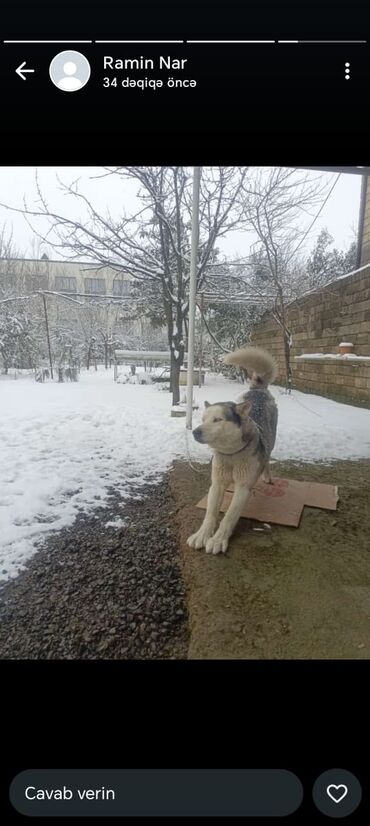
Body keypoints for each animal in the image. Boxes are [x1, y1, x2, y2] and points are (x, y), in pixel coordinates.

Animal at [188, 344, 278, 552]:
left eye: (217, 420)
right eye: (203, 419)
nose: (195, 432)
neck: (231, 455)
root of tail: (258, 389)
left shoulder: (242, 488)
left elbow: (229, 517)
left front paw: (218, 540)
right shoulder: (217, 484)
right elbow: (210, 514)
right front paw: (202, 535)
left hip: (272, 438)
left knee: (267, 456)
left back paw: (266, 475)